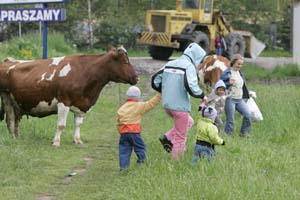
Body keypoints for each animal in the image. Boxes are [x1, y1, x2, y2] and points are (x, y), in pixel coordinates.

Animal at [0, 47, 138, 147]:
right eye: (125, 61)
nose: (137, 78)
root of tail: (9, 60)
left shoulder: (81, 103)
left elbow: (78, 124)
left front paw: (77, 140)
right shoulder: (64, 101)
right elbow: (61, 124)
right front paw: (56, 142)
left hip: (16, 103)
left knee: (16, 120)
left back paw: (18, 137)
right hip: (6, 97)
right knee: (10, 120)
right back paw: (13, 139)